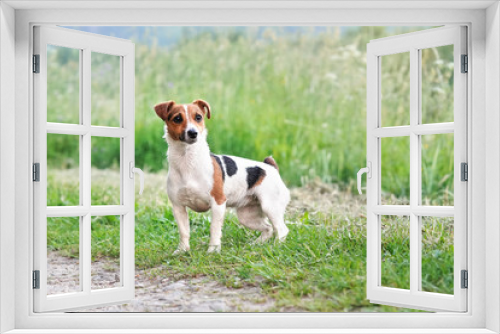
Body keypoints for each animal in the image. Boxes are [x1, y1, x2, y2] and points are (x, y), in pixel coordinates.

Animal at [154, 99, 292, 253]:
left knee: (281, 229)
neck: (187, 161)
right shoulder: (178, 207)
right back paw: (256, 244)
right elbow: (184, 231)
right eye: (177, 118)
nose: (193, 133)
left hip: (270, 207)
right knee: (268, 228)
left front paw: (213, 250)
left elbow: (214, 229)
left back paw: (276, 247)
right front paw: (183, 250)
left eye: (198, 117)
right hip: (246, 216)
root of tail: (271, 167)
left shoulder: (218, 203)